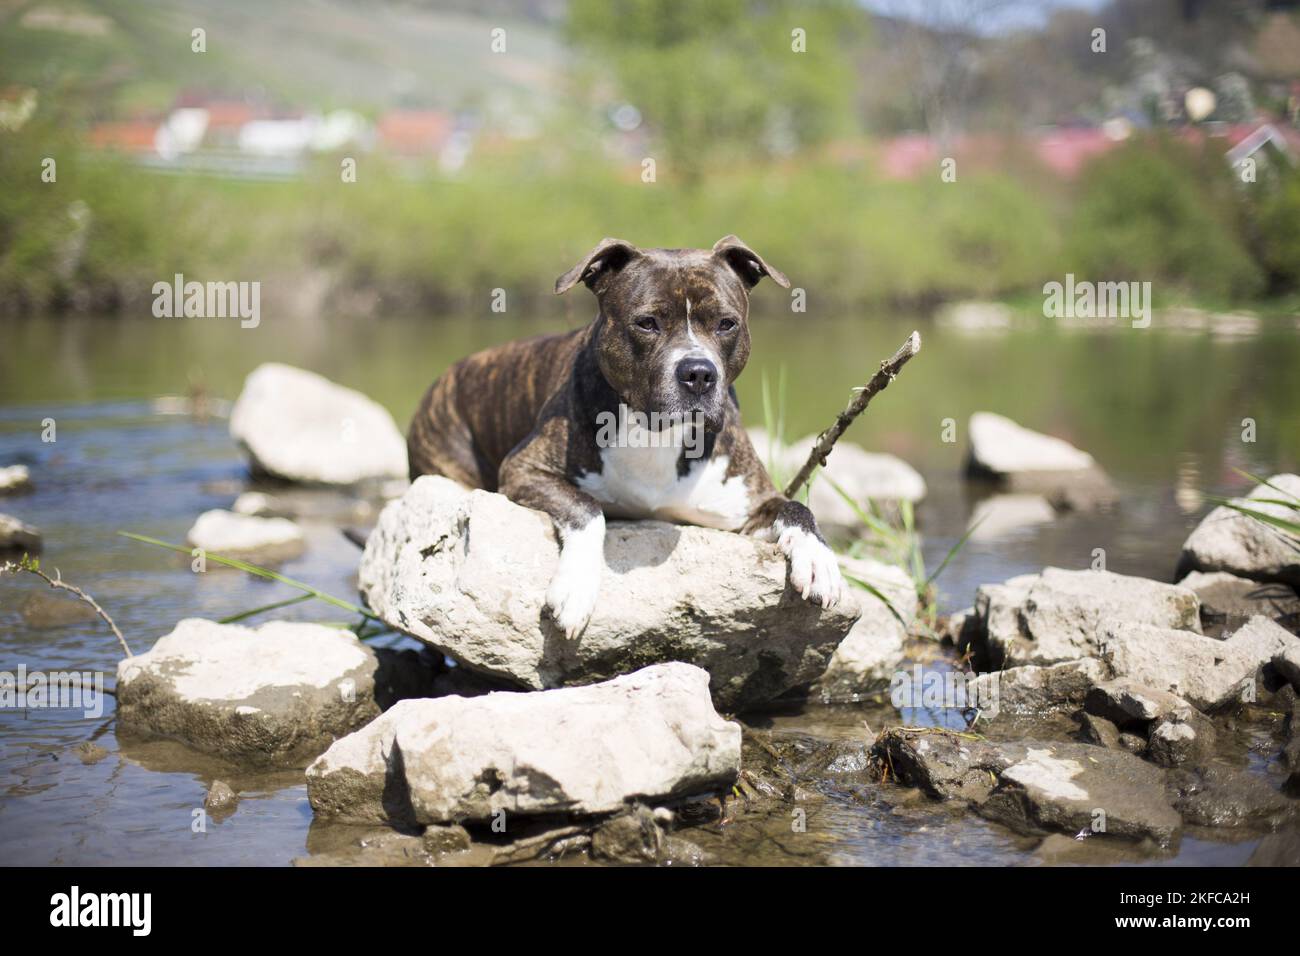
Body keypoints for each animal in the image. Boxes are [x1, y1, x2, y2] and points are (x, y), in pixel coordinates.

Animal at [410, 234, 847, 634]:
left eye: (726, 324)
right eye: (647, 322)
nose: (698, 372)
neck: (655, 432)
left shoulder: (747, 506)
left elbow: (796, 508)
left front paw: (819, 560)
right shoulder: (523, 469)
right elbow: (588, 508)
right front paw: (575, 588)